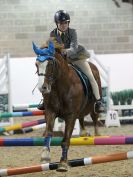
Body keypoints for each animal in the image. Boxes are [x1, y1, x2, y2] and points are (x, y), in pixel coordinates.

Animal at [32, 39, 101, 171]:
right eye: (36, 64)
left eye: (50, 64)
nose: (42, 88)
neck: (61, 87)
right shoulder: (50, 111)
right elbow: (49, 132)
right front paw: (45, 156)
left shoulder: (71, 115)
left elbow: (66, 139)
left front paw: (63, 163)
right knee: (82, 117)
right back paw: (84, 133)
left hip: (93, 106)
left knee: (94, 118)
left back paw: (97, 135)